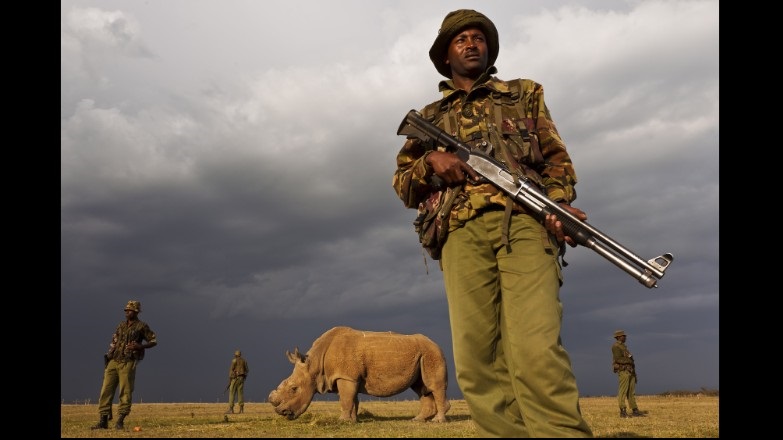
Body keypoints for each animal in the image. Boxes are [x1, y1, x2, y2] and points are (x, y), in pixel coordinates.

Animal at [267, 326, 451, 423]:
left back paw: (437, 421)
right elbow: (352, 399)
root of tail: (437, 344)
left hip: (432, 353)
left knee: (434, 386)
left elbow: (345, 399)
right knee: (421, 388)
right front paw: (353, 421)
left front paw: (342, 421)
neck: (315, 363)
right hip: (423, 354)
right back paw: (417, 420)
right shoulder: (350, 377)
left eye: (294, 388)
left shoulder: (345, 376)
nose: (282, 413)